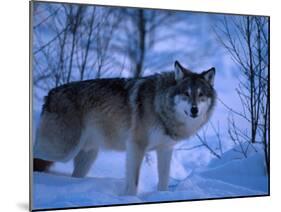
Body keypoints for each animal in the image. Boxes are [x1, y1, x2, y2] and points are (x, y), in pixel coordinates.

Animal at [33, 60, 217, 195]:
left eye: (201, 95)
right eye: (186, 94)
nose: (194, 110)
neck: (159, 106)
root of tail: (49, 94)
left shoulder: (165, 149)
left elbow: (164, 180)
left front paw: (162, 196)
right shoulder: (136, 146)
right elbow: (133, 181)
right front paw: (130, 199)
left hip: (87, 156)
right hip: (63, 151)